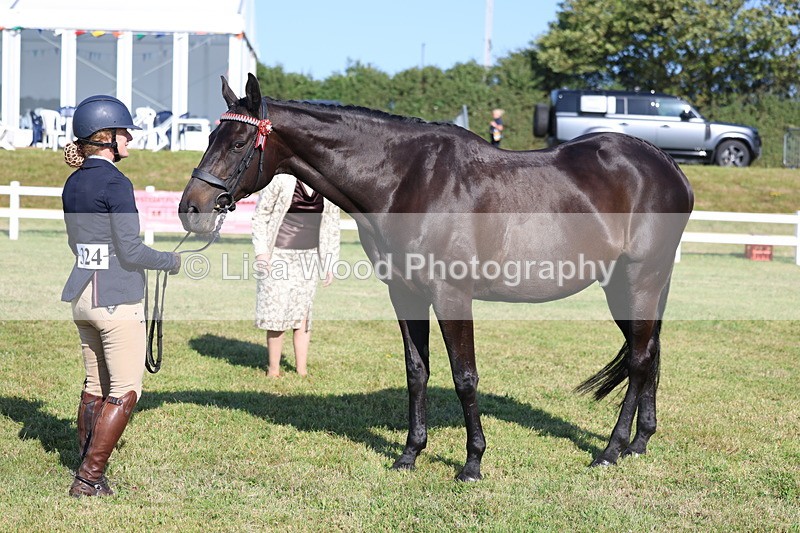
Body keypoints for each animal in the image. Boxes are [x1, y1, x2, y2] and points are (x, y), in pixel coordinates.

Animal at [179, 73, 694, 481]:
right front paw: (410, 454)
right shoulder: (405, 293)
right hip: (624, 286)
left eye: (238, 143)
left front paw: (472, 463)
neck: (407, 180)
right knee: (650, 352)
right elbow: (417, 372)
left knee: (640, 358)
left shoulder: (451, 295)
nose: (191, 209)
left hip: (639, 280)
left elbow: (464, 376)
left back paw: (611, 450)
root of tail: (668, 166)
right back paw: (639, 442)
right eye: (210, 137)